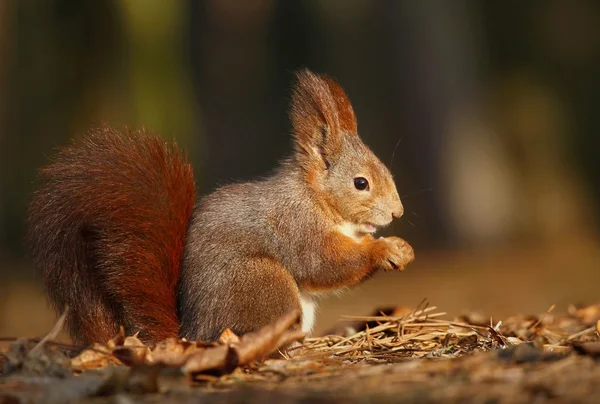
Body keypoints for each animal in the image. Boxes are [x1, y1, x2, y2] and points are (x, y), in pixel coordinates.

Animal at [27, 68, 412, 344]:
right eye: (360, 183)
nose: (398, 213)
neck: (314, 197)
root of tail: (193, 334)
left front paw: (401, 247)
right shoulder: (296, 226)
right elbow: (324, 264)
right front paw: (384, 249)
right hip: (261, 283)